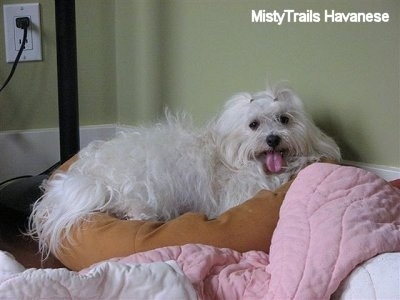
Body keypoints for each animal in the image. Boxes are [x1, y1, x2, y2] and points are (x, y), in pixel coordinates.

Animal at [28, 85, 340, 258]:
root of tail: (90, 175)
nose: (273, 139)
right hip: (148, 188)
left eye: (284, 119)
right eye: (254, 125)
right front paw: (301, 164)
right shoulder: (243, 191)